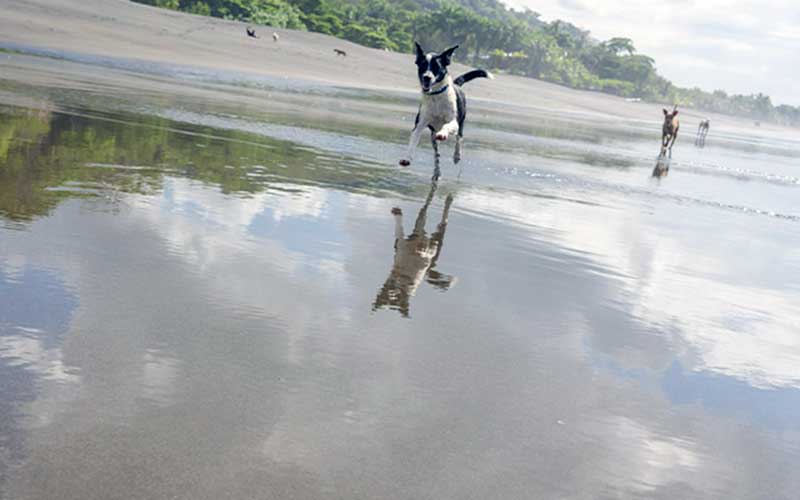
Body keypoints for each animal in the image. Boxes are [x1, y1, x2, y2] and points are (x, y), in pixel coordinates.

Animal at [400, 41, 494, 170]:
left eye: (436, 67)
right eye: (423, 65)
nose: (426, 77)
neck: (436, 95)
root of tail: (456, 84)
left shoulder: (454, 121)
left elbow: (447, 126)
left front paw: (443, 134)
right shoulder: (420, 123)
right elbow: (413, 140)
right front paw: (407, 158)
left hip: (461, 124)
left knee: (459, 139)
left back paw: (456, 155)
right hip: (433, 134)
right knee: (436, 148)